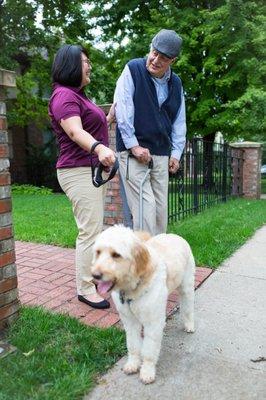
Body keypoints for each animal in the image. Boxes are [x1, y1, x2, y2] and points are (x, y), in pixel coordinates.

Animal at [90, 225, 194, 384]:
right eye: (98, 252)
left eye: (116, 255)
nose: (95, 276)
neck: (132, 289)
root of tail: (174, 235)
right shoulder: (129, 321)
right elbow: (133, 345)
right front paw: (133, 364)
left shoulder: (153, 322)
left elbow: (149, 350)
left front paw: (147, 371)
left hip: (186, 287)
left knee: (188, 307)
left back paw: (189, 325)